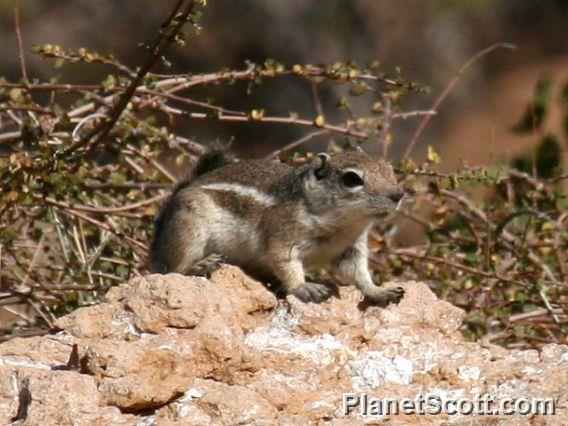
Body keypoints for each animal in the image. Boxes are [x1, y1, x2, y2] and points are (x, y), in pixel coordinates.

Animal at [149, 148, 406, 304]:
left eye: (389, 169)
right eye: (352, 179)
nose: (398, 195)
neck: (341, 226)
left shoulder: (352, 248)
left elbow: (358, 273)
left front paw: (380, 291)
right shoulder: (284, 236)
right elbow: (285, 262)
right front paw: (303, 288)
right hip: (188, 229)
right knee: (173, 269)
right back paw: (200, 265)